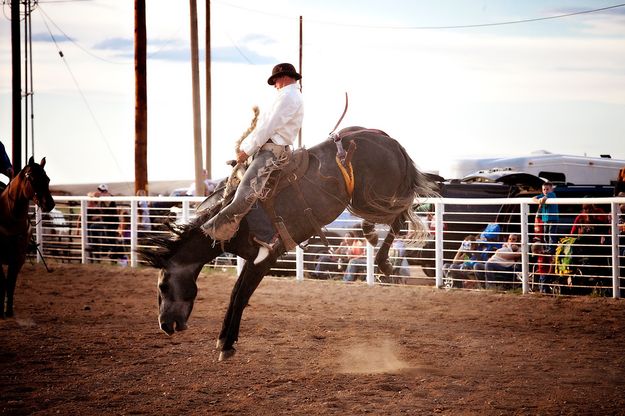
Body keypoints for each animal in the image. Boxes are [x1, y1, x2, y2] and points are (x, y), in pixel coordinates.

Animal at [140, 127, 434, 360]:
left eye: (163, 286)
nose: (164, 325)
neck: (233, 221)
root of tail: (390, 141)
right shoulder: (252, 259)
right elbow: (235, 294)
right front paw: (224, 339)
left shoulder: (265, 257)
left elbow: (241, 296)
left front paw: (227, 344)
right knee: (395, 216)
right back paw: (373, 238)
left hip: (374, 197)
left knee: (400, 216)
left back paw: (382, 259)